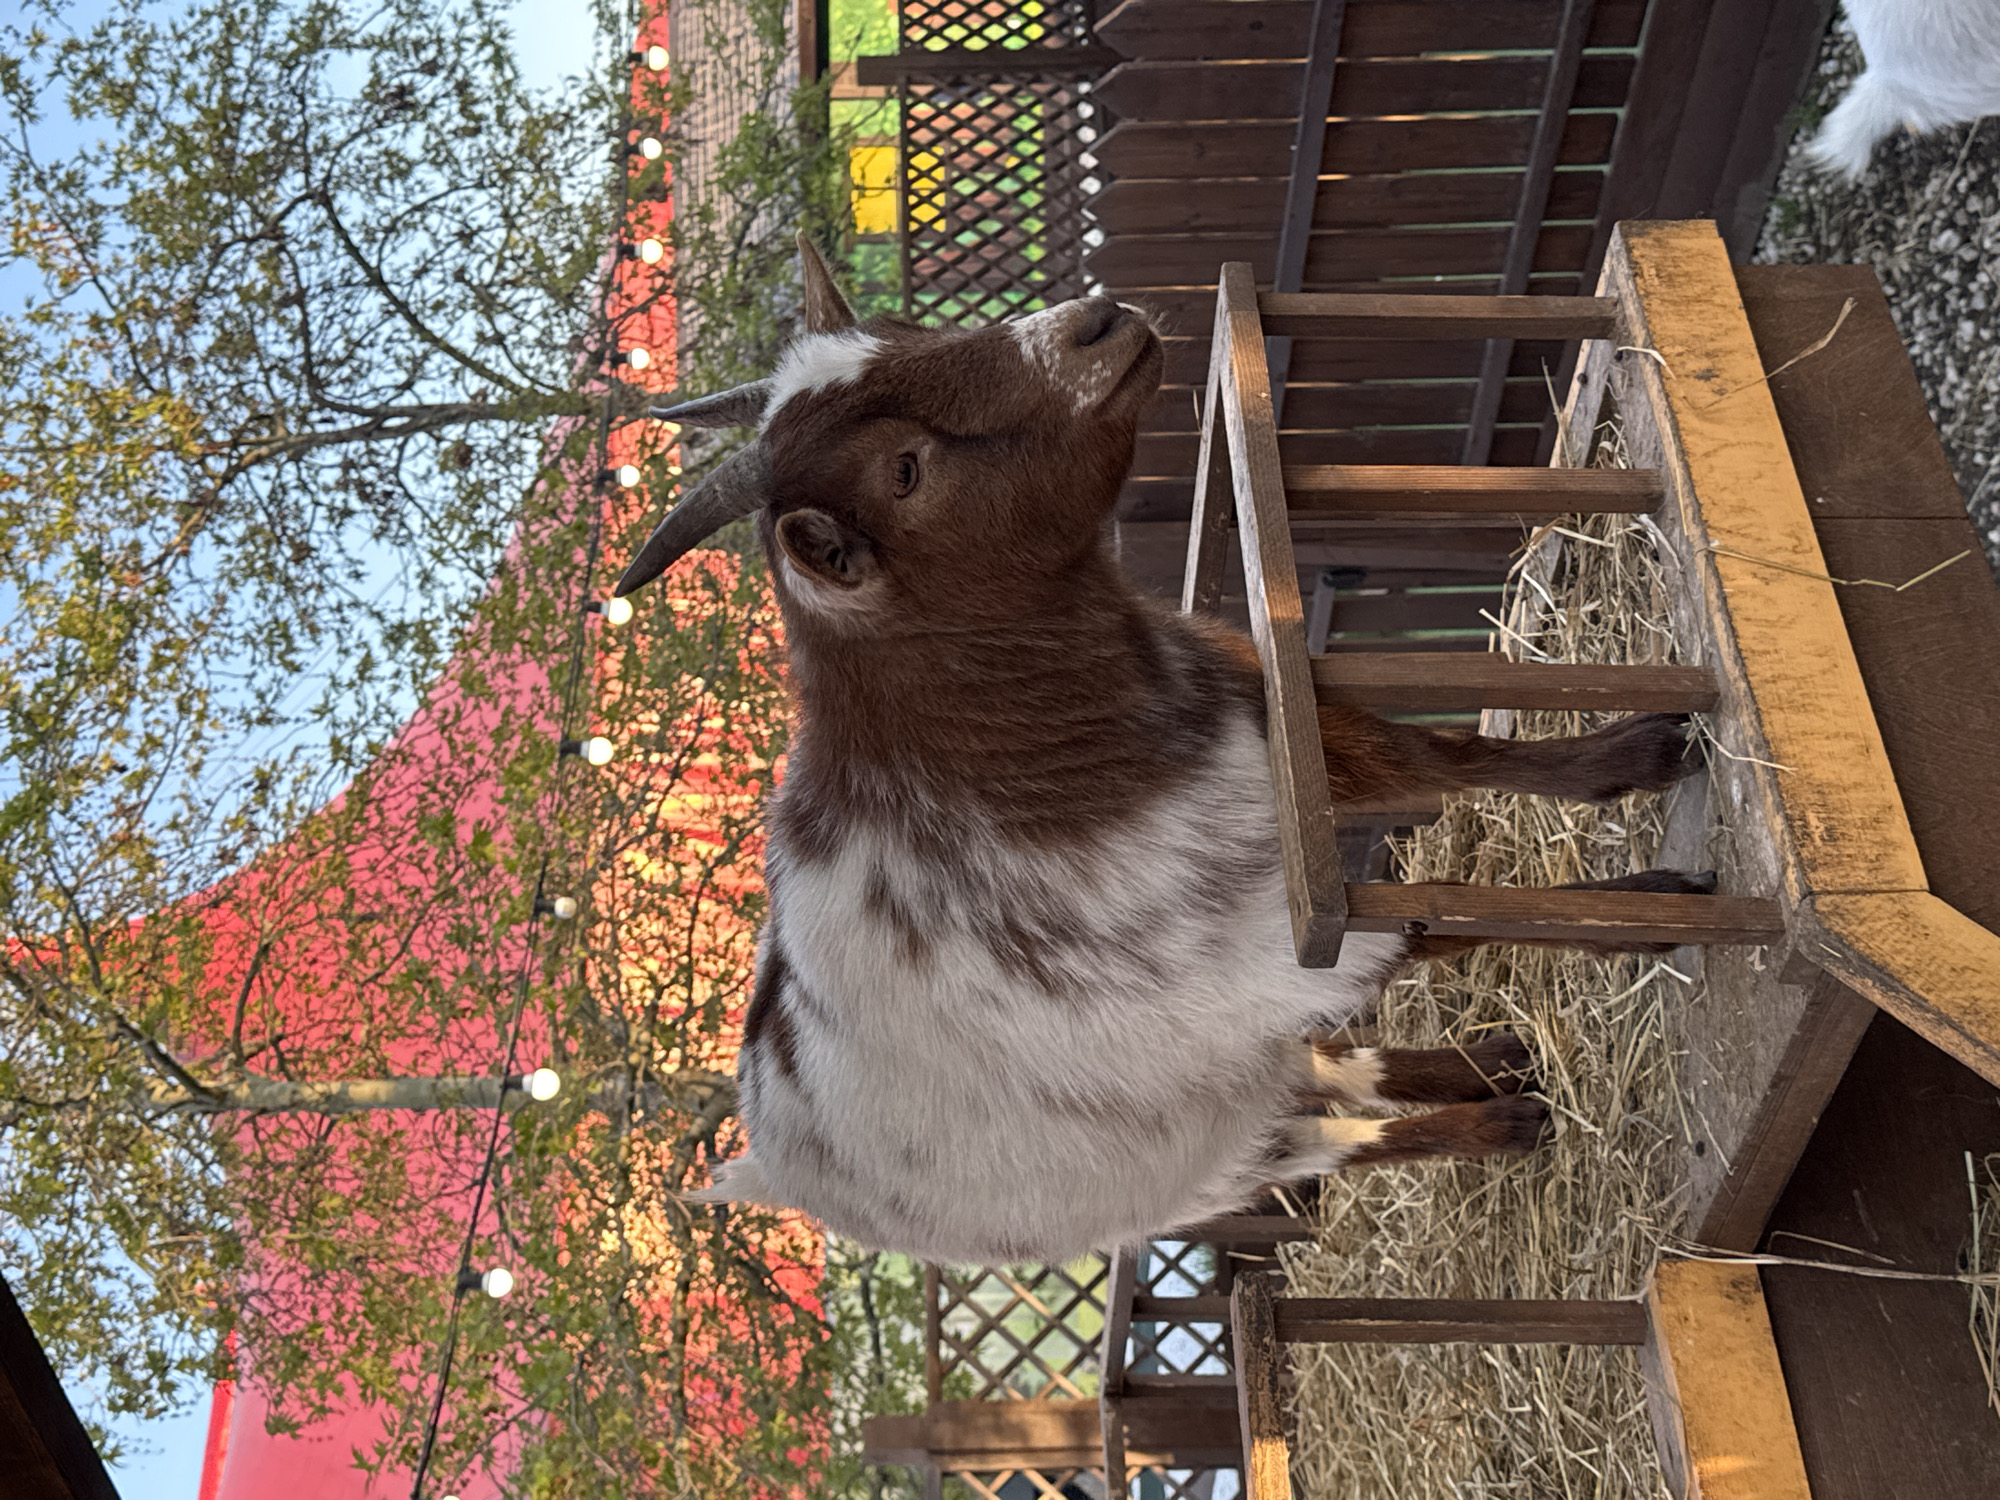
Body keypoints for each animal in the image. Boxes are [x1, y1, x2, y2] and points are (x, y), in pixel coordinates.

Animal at [614, 238, 1707, 1265]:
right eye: (904, 470)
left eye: (901, 328)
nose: (1093, 324)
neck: (1030, 758)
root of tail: (759, 1163)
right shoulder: (1274, 949)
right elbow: (1447, 913)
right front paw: (1655, 907)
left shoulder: (1277, 742)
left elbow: (1447, 761)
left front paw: (1638, 756)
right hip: (1198, 1167)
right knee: (1333, 1139)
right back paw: (1504, 1118)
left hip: (1221, 1081)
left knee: (1319, 1071)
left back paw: (1493, 1066)